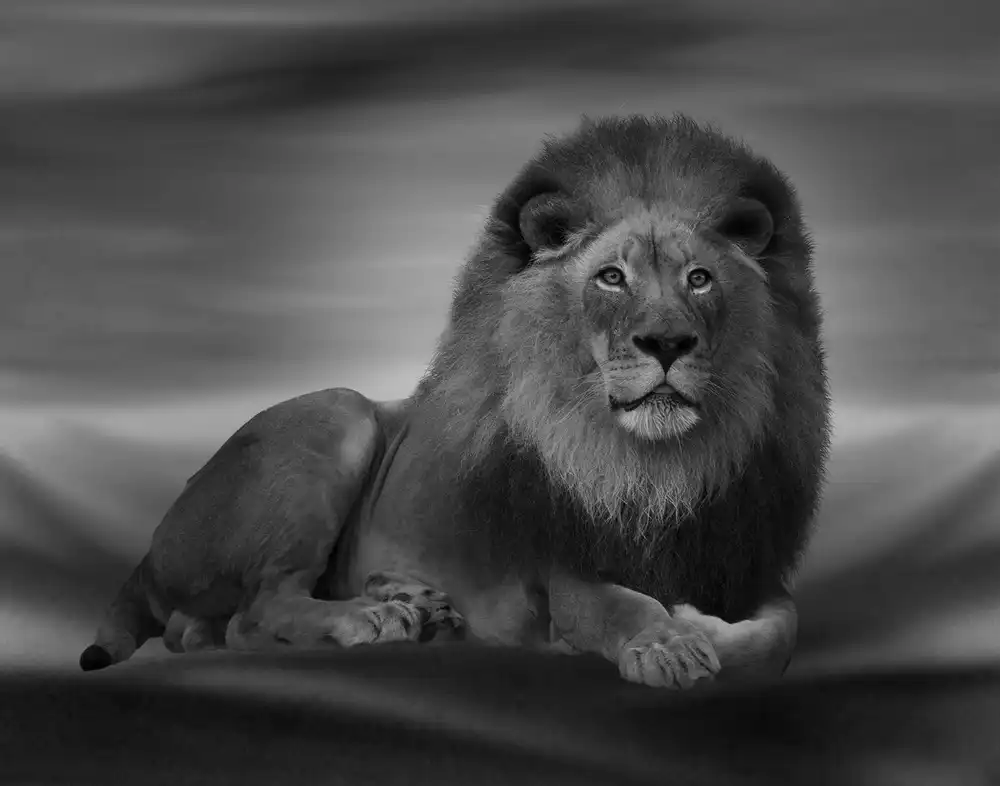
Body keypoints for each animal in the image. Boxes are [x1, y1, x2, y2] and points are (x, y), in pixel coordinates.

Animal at [79, 114, 831, 689]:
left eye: (699, 279)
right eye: (611, 278)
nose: (668, 341)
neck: (658, 466)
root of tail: (153, 548)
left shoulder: (748, 561)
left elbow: (780, 632)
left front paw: (703, 626)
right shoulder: (563, 568)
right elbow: (624, 604)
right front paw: (669, 642)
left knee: (202, 633)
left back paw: (411, 602)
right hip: (337, 414)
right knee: (253, 615)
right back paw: (376, 619)